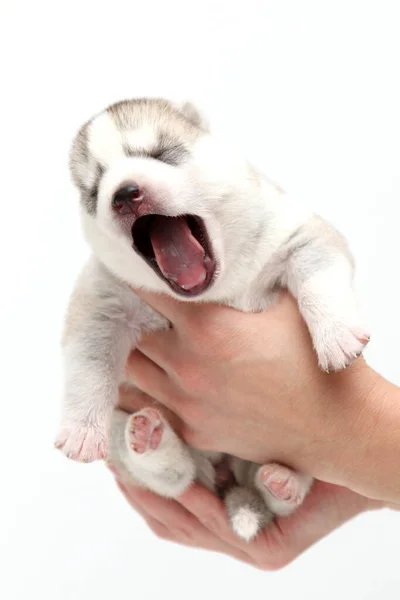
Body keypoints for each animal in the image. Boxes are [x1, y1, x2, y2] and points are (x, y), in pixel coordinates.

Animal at [54, 97, 370, 540]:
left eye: (162, 154)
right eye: (95, 188)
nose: (125, 194)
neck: (217, 289)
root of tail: (225, 468)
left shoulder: (296, 234)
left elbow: (318, 276)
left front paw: (336, 335)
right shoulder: (102, 300)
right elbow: (88, 364)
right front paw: (81, 428)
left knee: (282, 490)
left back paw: (284, 482)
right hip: (129, 430)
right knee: (177, 476)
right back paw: (152, 441)